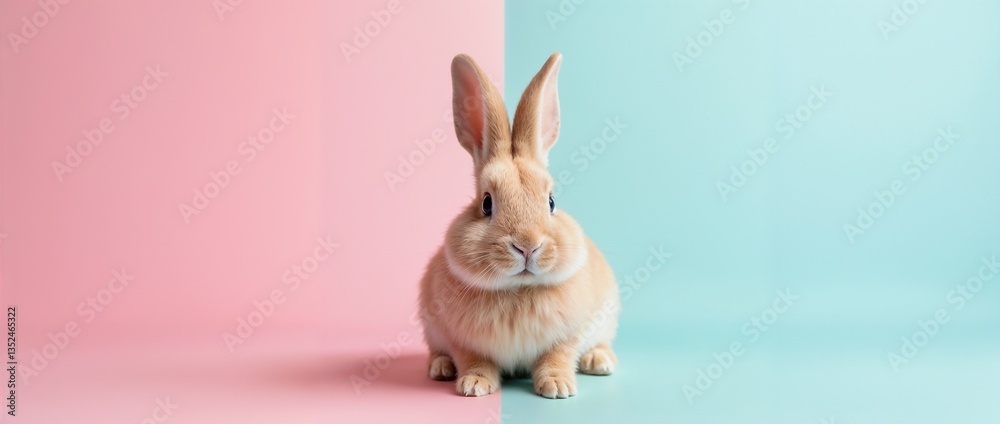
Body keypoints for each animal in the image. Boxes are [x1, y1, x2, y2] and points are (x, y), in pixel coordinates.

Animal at [418, 52, 620, 399]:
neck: (517, 289)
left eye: (551, 201)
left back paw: (599, 361)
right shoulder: (461, 340)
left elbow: (558, 355)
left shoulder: (568, 334)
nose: (527, 246)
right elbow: (474, 359)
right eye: (486, 204)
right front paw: (474, 385)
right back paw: (440, 368)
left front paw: (558, 387)